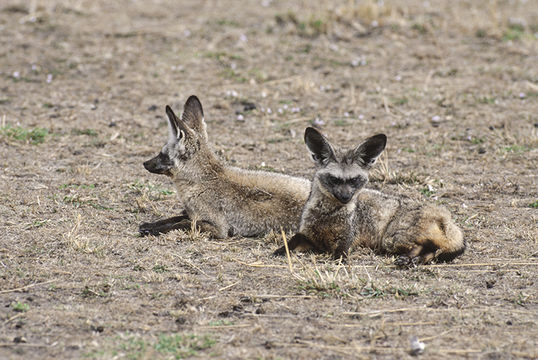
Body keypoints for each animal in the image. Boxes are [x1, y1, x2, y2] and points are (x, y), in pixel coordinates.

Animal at [272, 126, 464, 264]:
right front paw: (281, 250)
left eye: (355, 180)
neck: (327, 216)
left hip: (391, 239)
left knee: (423, 247)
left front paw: (339, 260)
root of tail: (445, 215)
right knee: (432, 251)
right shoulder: (308, 235)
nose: (346, 198)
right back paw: (416, 260)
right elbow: (292, 240)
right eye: (334, 179)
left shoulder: (347, 239)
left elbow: (340, 252)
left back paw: (409, 258)